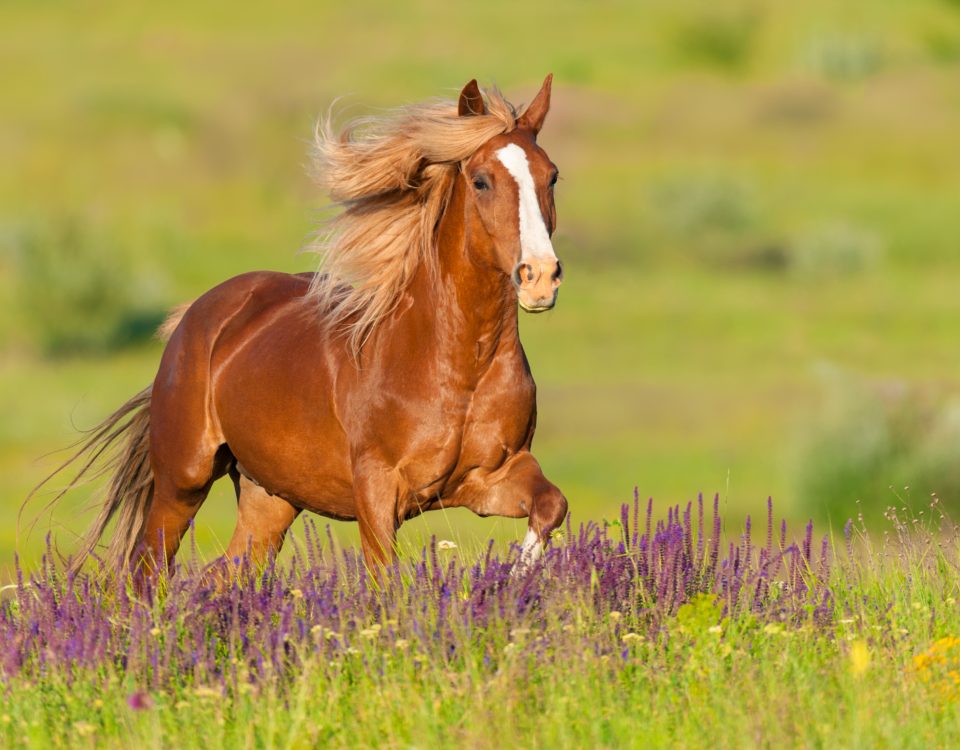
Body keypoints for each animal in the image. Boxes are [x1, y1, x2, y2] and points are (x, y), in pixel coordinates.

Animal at [37, 75, 568, 577]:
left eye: (552, 176)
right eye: (481, 181)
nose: (540, 277)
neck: (457, 365)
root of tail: (196, 318)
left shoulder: (490, 476)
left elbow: (551, 505)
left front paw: (515, 580)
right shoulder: (377, 491)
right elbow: (386, 580)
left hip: (269, 497)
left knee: (222, 574)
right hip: (182, 481)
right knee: (148, 572)